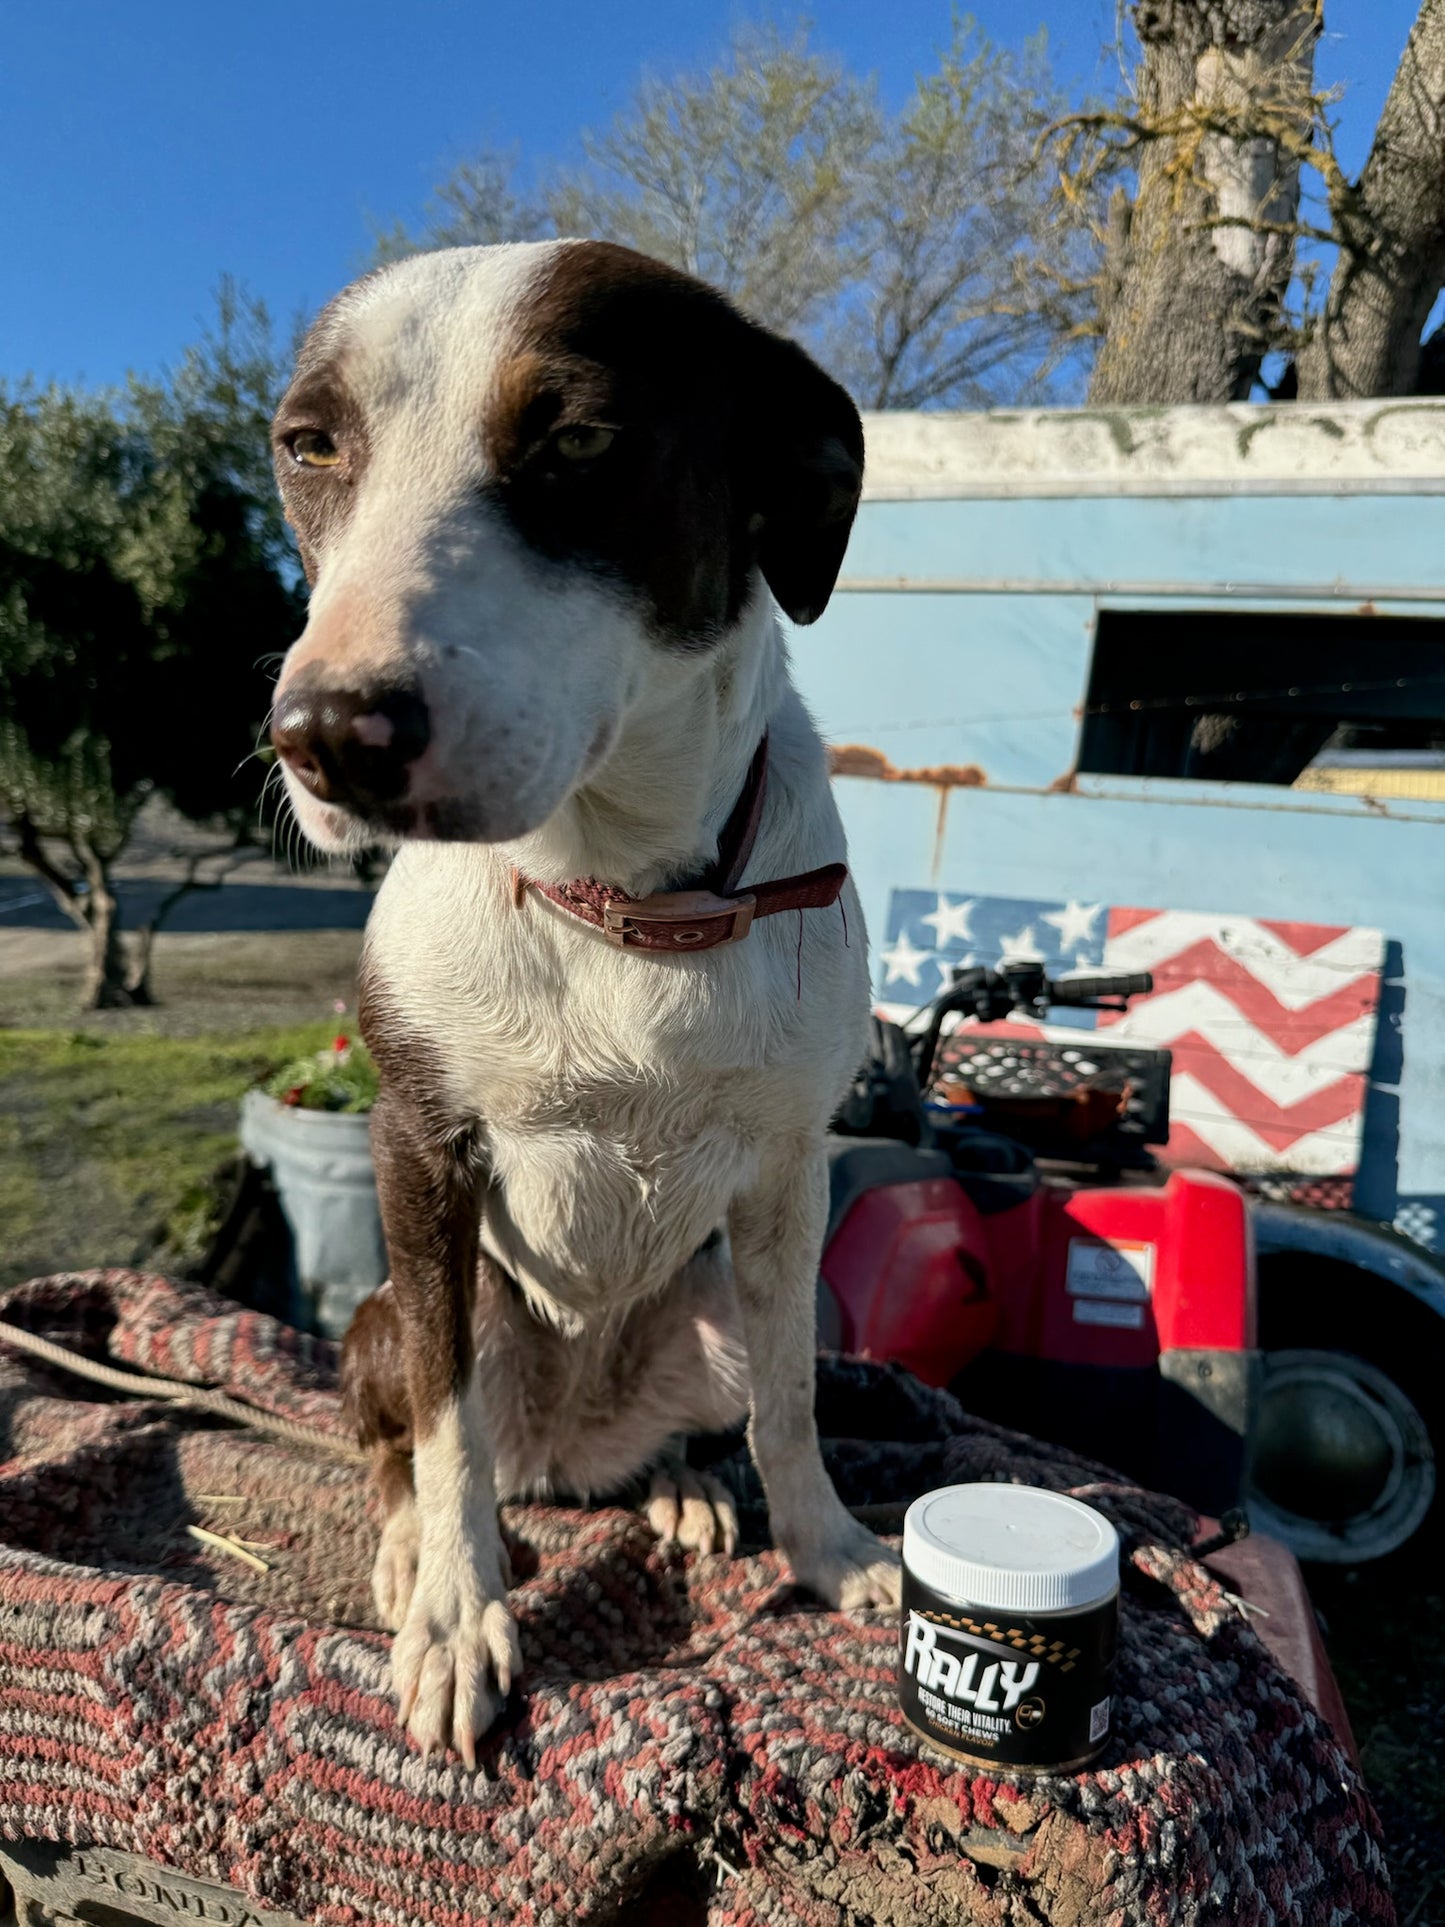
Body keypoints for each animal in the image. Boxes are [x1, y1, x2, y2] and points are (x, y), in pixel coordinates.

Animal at [269, 237, 901, 1765]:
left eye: (576, 440)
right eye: (309, 447)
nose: (324, 738)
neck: (624, 895)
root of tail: (563, 1452)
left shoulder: (789, 1174)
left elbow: (793, 1398)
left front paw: (825, 1545)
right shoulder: (416, 1147)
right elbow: (443, 1437)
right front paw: (455, 1612)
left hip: (706, 1304)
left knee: (698, 1411)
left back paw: (676, 1482)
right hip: (402, 1314)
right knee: (407, 1438)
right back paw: (418, 1545)